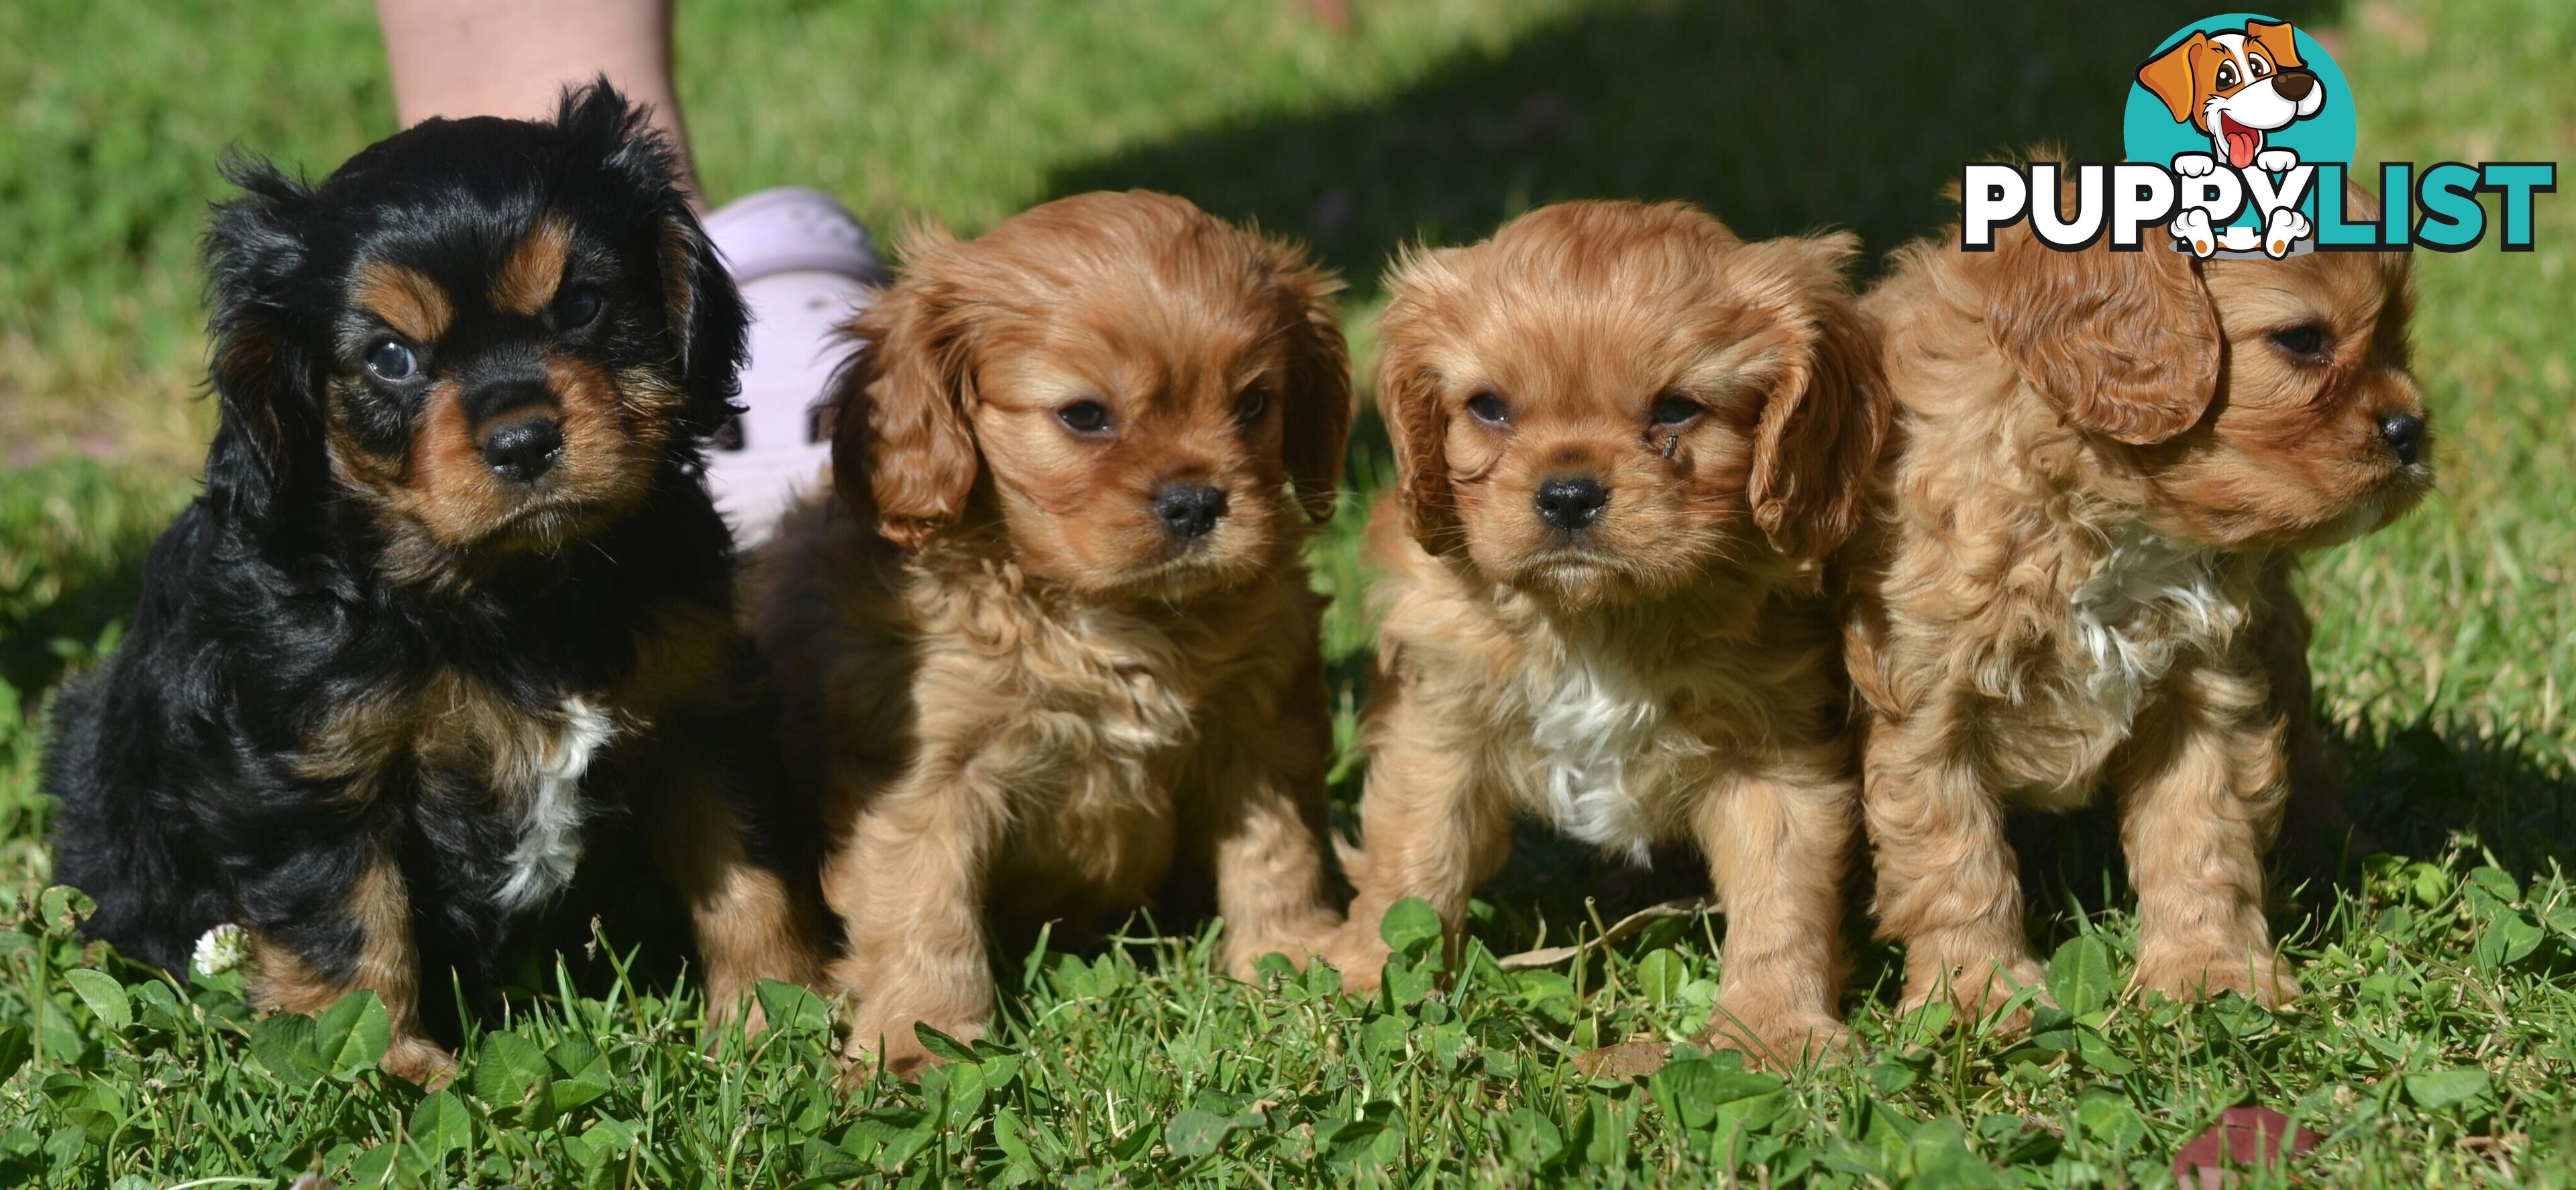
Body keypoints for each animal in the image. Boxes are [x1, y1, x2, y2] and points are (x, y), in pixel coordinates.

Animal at [45, 83, 819, 1081]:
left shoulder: (699, 704)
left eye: (581, 305)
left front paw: (780, 1017)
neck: (507, 590)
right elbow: (351, 922)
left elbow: (744, 864)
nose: (523, 440)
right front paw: (389, 1072)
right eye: (390, 357)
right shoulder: (305, 768)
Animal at [752, 191, 1360, 1071]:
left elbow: (1275, 852)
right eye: (1085, 416)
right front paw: (919, 1038)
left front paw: (1292, 959)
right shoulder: (923, 776)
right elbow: (923, 907)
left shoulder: (1258, 728)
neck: (1106, 615)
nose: (1198, 502)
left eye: (1253, 406)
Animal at [1329, 199, 1896, 1066]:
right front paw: (1365, 979)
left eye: (1677, 408)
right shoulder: (1439, 723)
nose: (1568, 493)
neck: (1596, 622)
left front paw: (1772, 1029)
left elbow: (1780, 897)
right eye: (1488, 407)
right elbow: (1416, 855)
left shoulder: (1776, 757)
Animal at [1844, 199, 2421, 1020]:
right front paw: (1981, 996)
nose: (2412, 431)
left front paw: (2212, 974)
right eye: (2303, 340)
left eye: (2399, 334)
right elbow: (1955, 856)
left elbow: (2201, 832)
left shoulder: (2205, 686)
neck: (2108, 510)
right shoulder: (1924, 699)